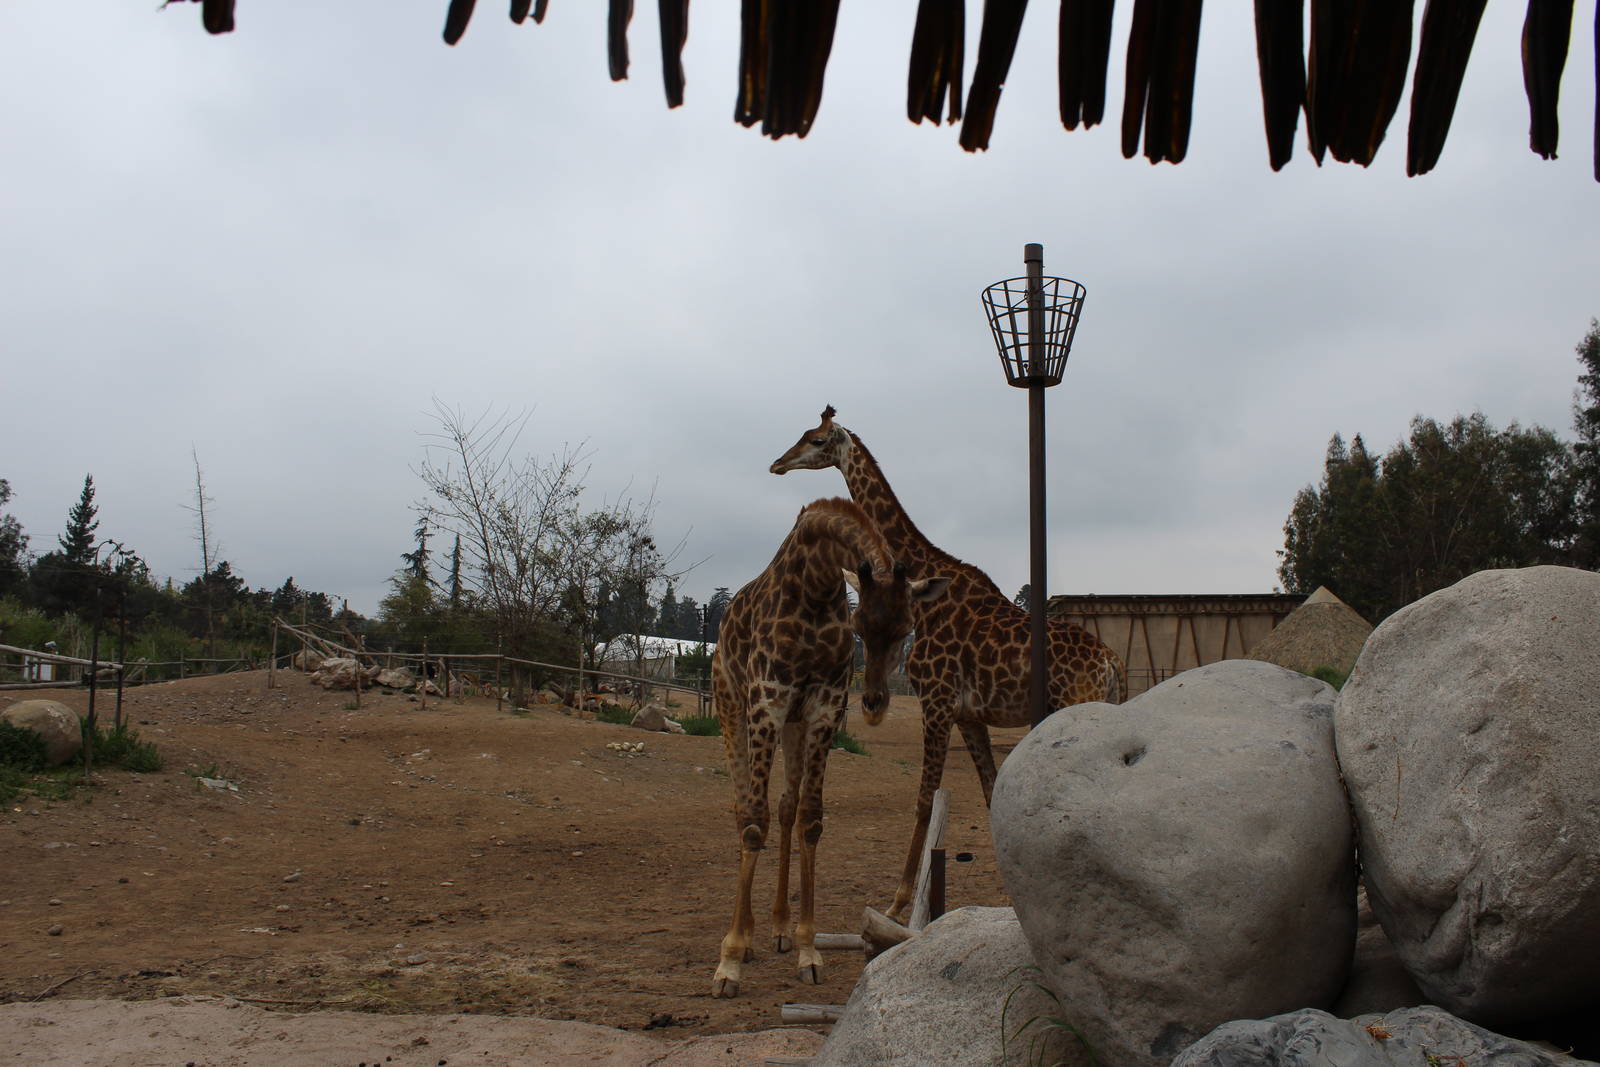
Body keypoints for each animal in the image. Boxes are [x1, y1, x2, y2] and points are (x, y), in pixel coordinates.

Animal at [711, 497, 949, 998]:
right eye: (859, 623)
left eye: (907, 627)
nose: (874, 703)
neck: (815, 588)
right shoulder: (767, 702)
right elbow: (754, 823)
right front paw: (730, 961)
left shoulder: (822, 709)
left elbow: (811, 819)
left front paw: (808, 949)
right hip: (730, 703)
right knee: (743, 808)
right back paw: (748, 937)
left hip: (794, 726)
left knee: (786, 804)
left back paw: (779, 928)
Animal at [771, 406, 1126, 922]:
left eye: (816, 441)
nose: (778, 463)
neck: (928, 585)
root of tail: (1112, 663)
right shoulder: (967, 714)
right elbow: (990, 793)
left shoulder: (935, 702)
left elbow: (923, 801)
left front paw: (899, 901)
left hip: (1073, 707)